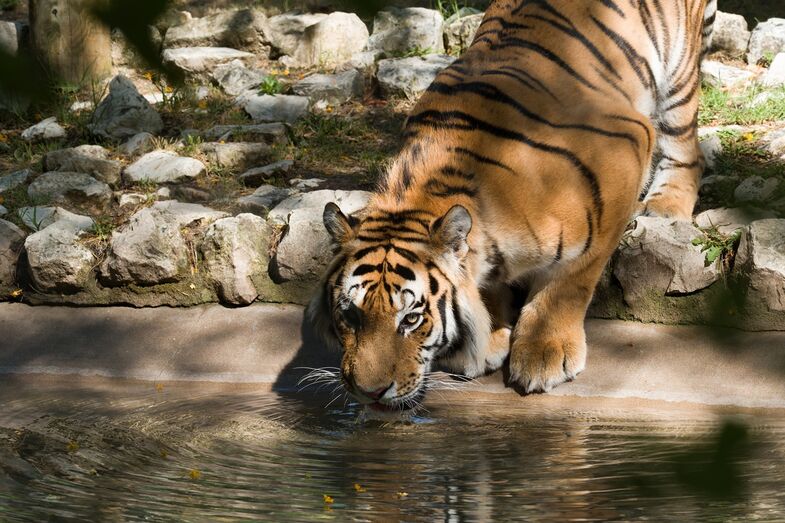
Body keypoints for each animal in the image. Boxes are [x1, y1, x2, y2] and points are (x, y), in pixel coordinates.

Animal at [307, 0, 718, 411]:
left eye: (410, 320)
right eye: (350, 315)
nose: (369, 393)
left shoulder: (623, 155)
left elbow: (571, 279)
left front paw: (544, 352)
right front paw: (490, 337)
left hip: (679, 74)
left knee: (687, 148)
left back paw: (665, 204)